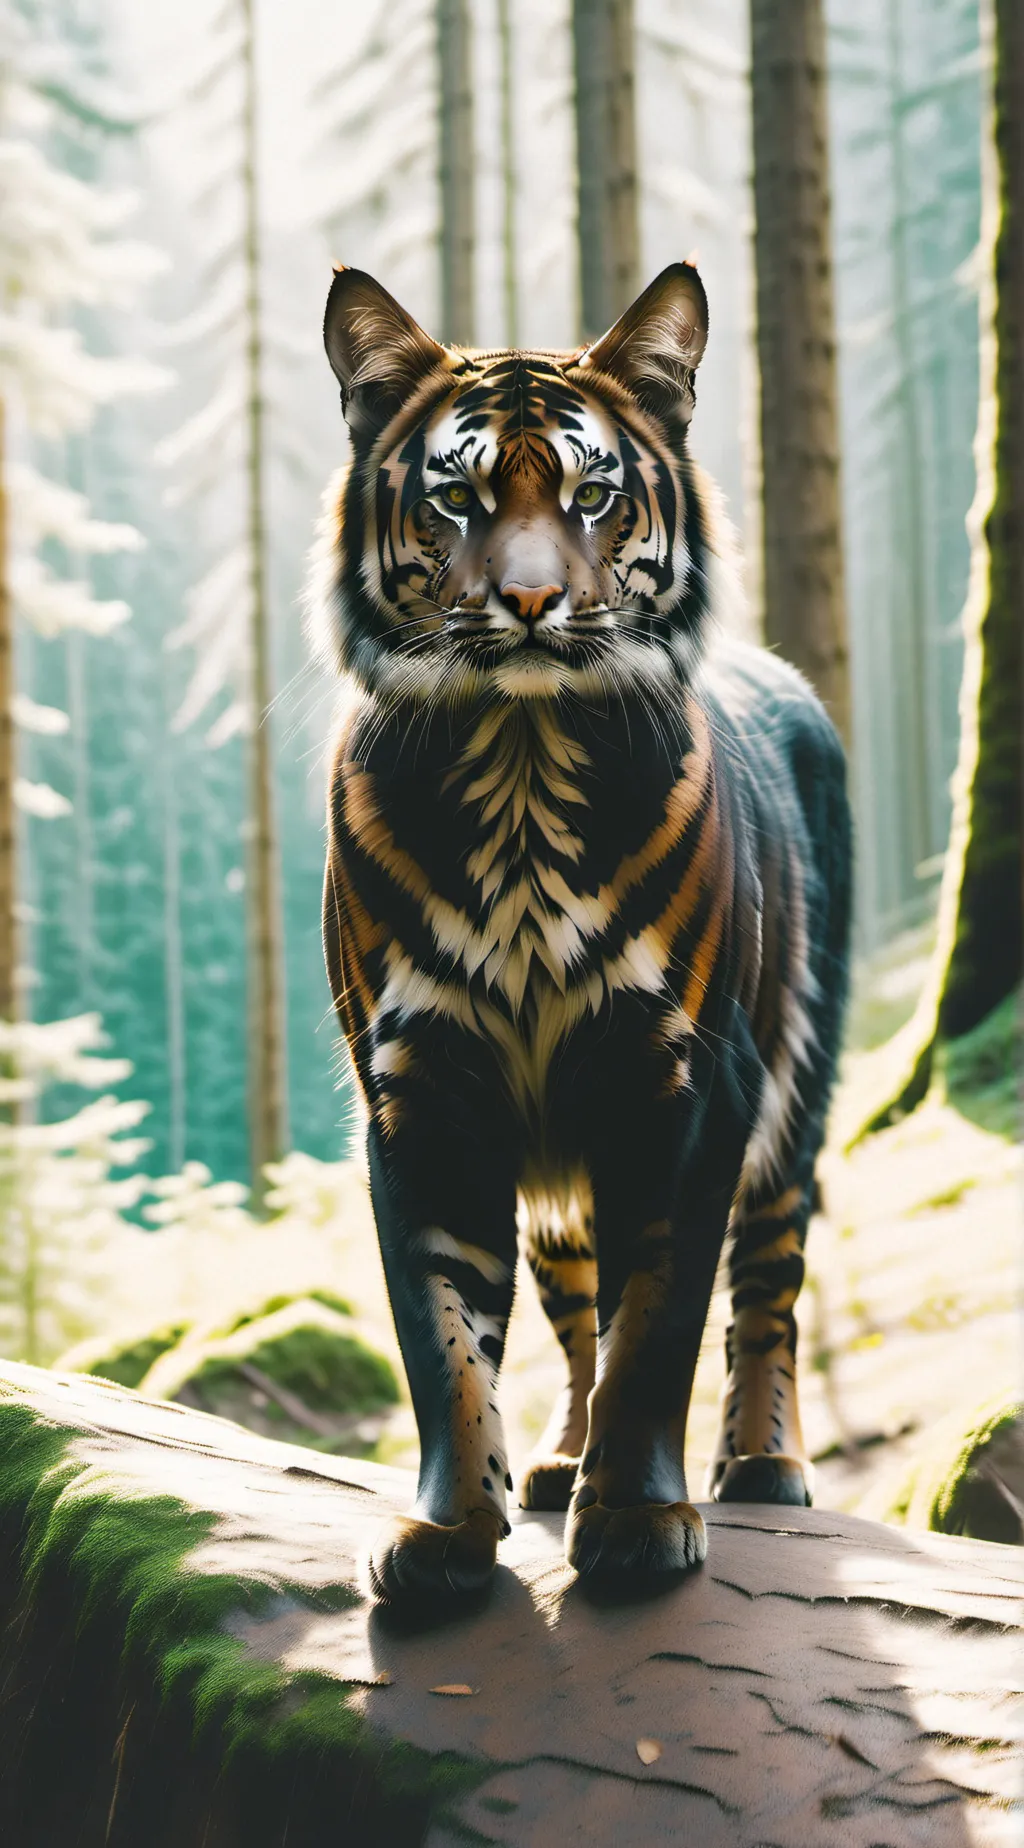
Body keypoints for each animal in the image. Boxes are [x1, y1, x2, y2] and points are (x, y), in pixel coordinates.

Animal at [311, 259, 852, 1606]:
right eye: (454, 495)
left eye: (591, 494)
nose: (528, 601)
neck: (518, 764)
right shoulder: (418, 1087)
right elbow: (445, 1333)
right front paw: (450, 1533)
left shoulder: (687, 1079)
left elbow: (656, 1318)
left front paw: (640, 1521)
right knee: (563, 1301)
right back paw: (556, 1462)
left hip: (794, 1099)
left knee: (767, 1283)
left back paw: (762, 1465)